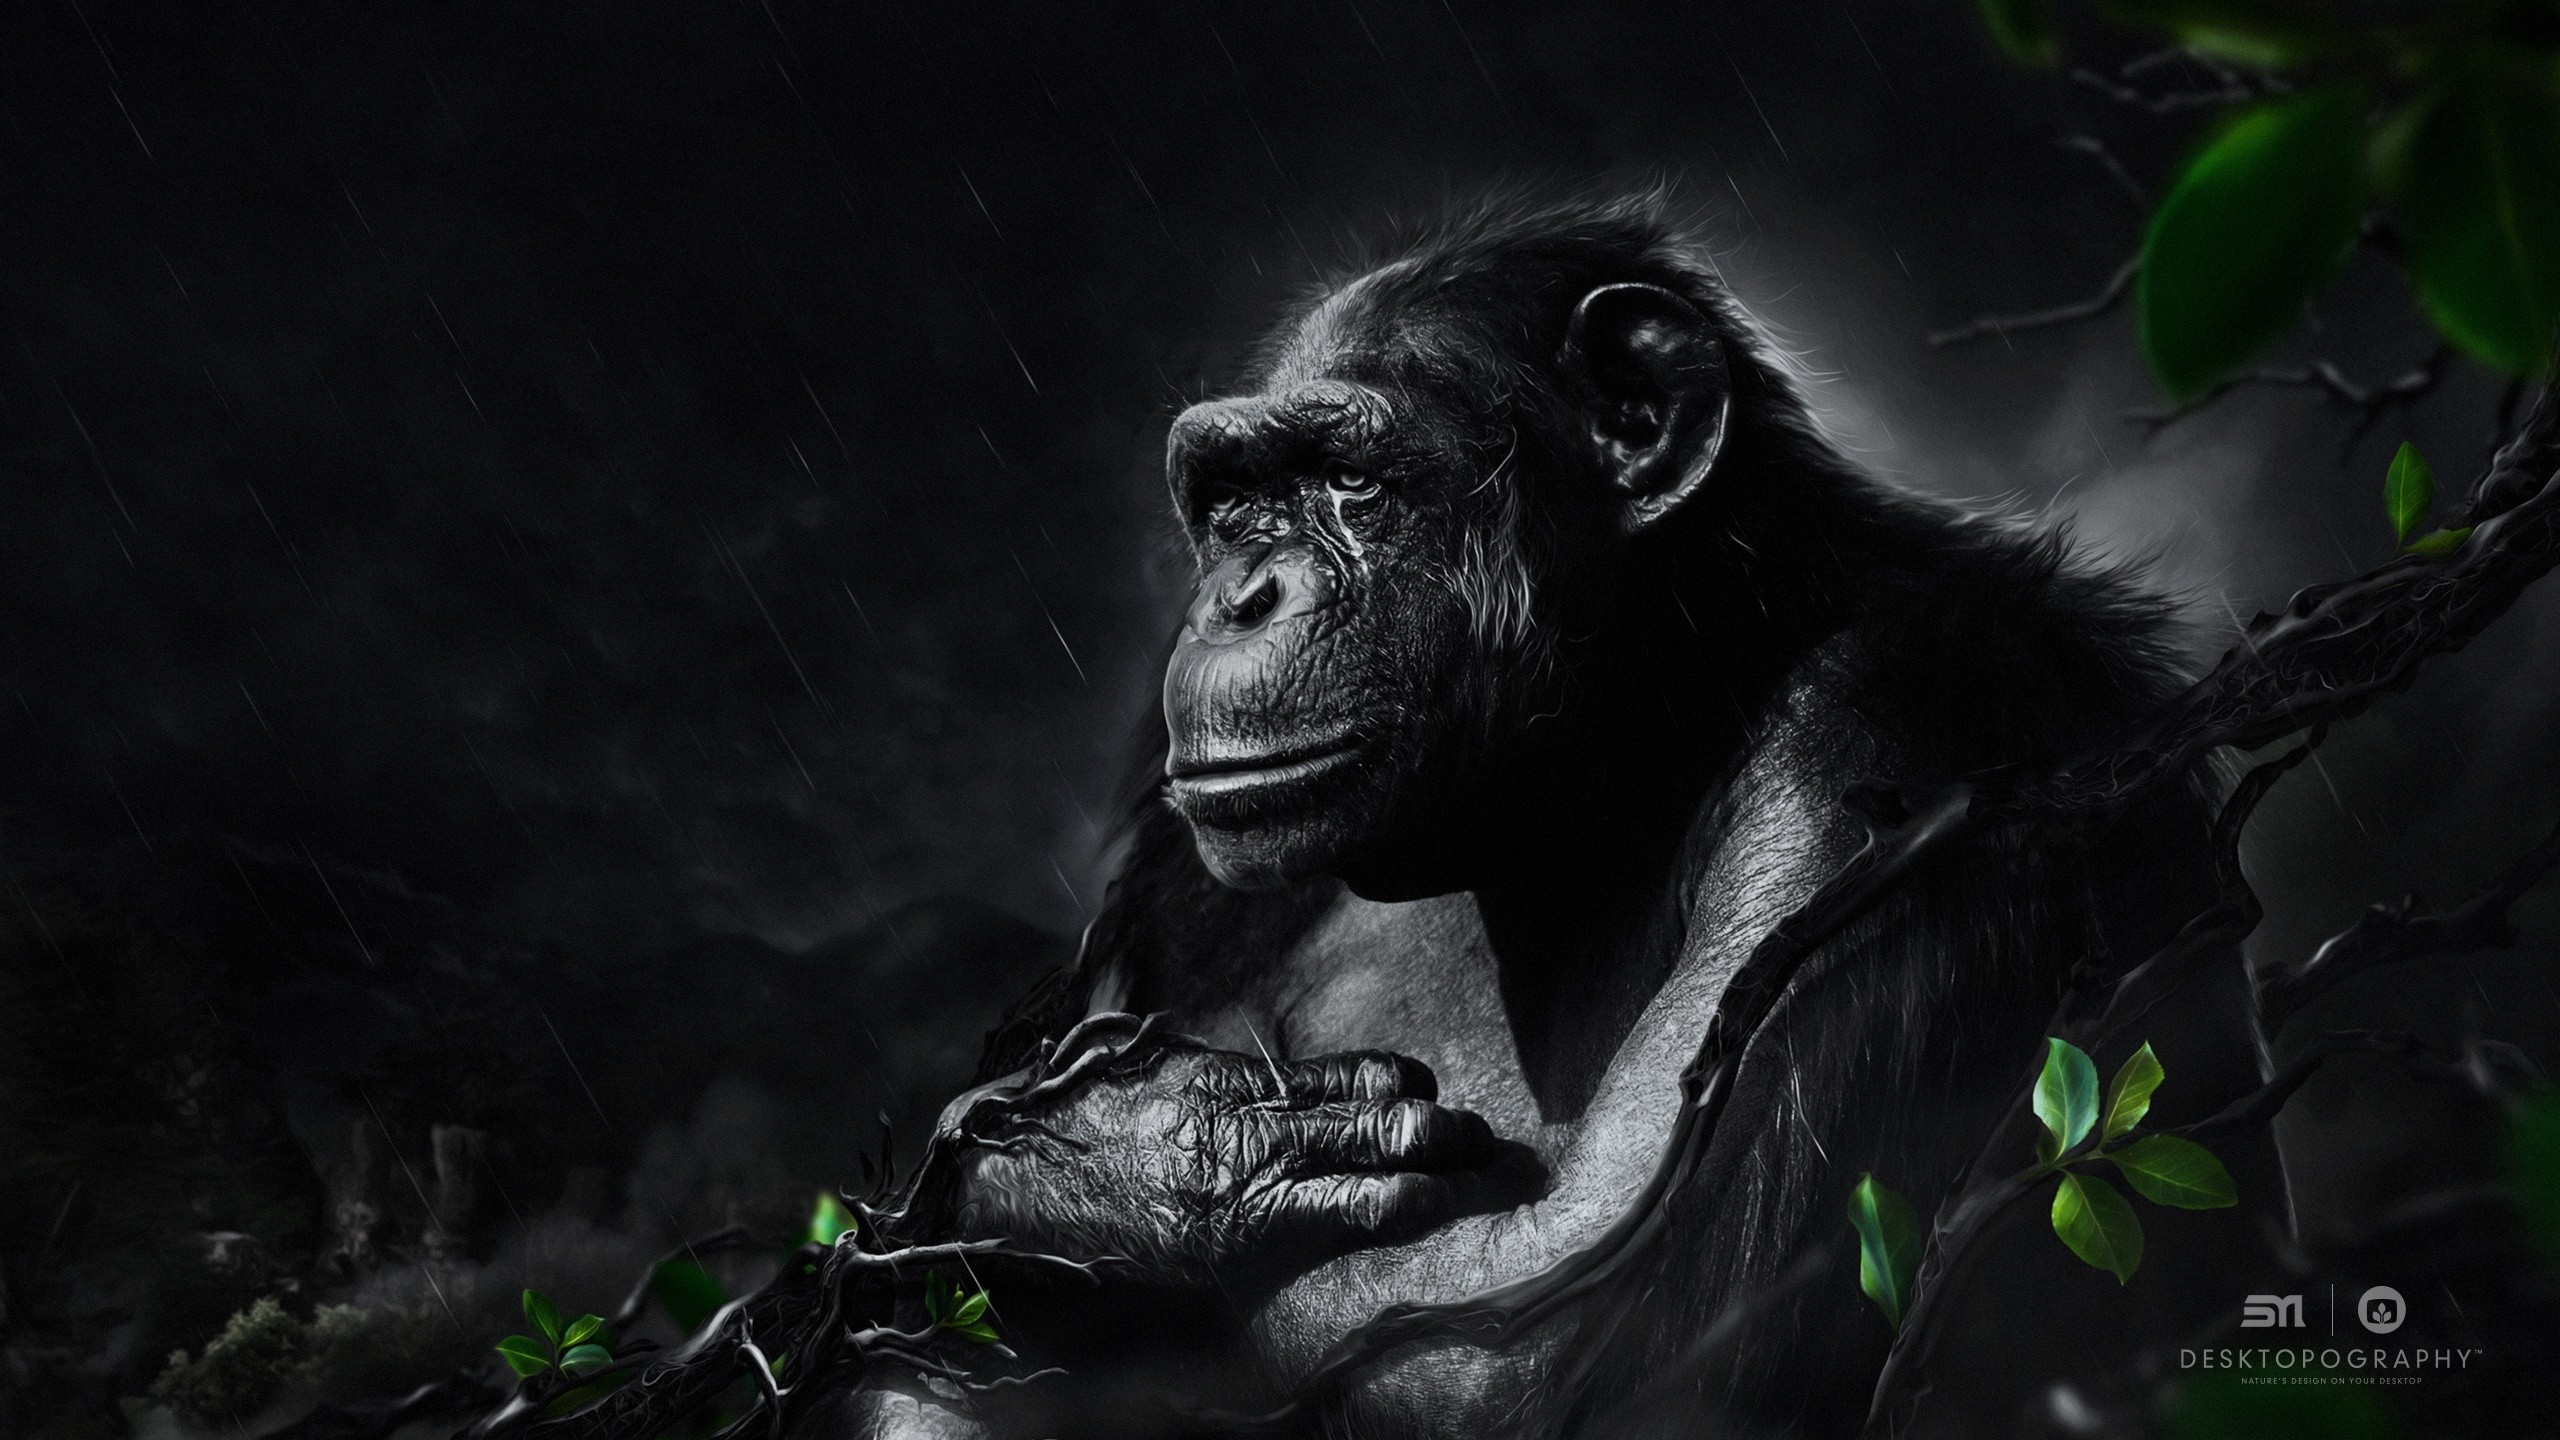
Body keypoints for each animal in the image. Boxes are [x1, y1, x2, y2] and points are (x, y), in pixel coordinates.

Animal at [802, 191, 2277, 1440]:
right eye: (1231, 503)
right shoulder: (1178, 870)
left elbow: (1567, 1341)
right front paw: (1133, 1167)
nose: (1240, 596)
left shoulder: (1904, 740)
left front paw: (1117, 1172)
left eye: (1347, 480)